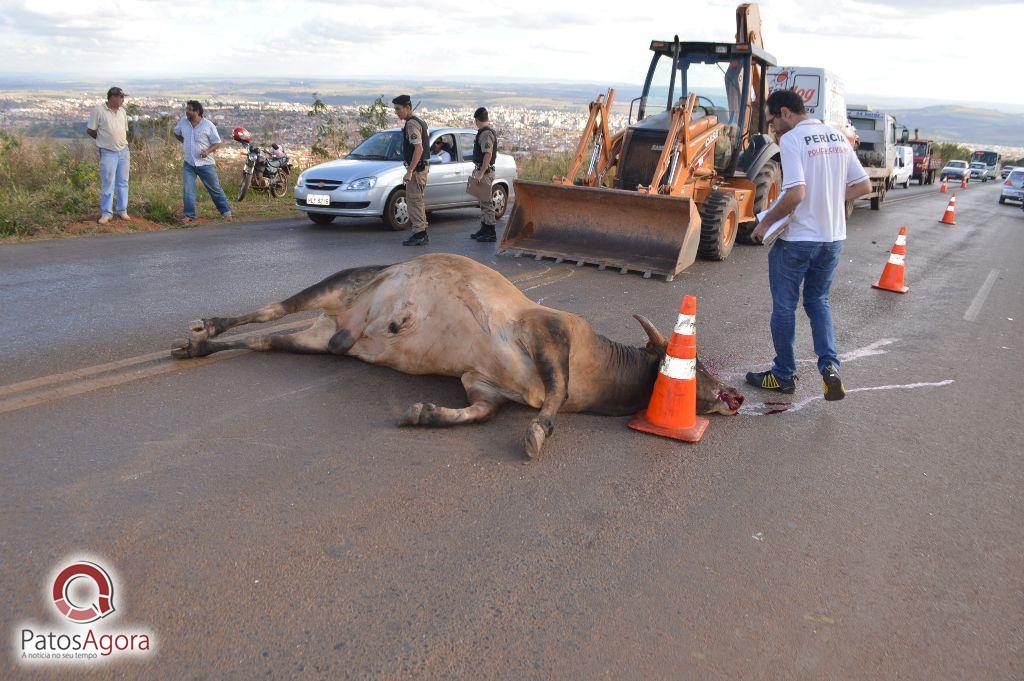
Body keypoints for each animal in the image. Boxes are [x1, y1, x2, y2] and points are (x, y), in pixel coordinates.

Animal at [169, 253, 745, 456]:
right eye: (697, 364)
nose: (735, 397)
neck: (599, 364)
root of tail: (340, 328)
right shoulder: (547, 333)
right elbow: (553, 398)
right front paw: (537, 434)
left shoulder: (482, 386)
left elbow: (476, 414)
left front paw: (423, 414)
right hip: (337, 284)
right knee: (270, 310)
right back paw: (199, 332)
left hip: (318, 340)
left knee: (265, 340)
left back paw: (200, 346)